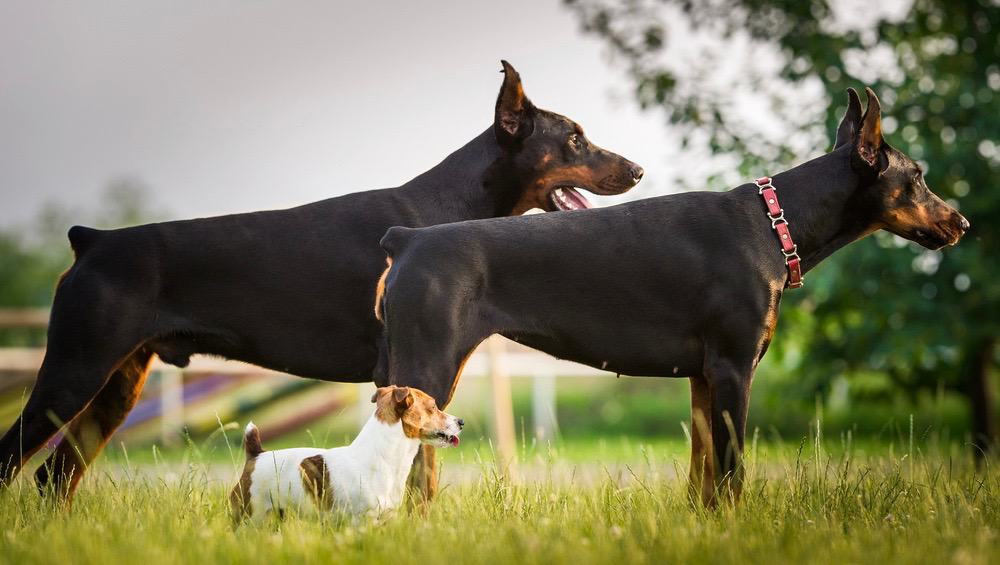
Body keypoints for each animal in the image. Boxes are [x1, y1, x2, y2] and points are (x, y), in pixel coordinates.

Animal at [229, 386, 462, 524]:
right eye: (433, 407)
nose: (461, 422)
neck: (382, 457)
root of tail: (256, 455)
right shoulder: (363, 522)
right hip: (250, 517)